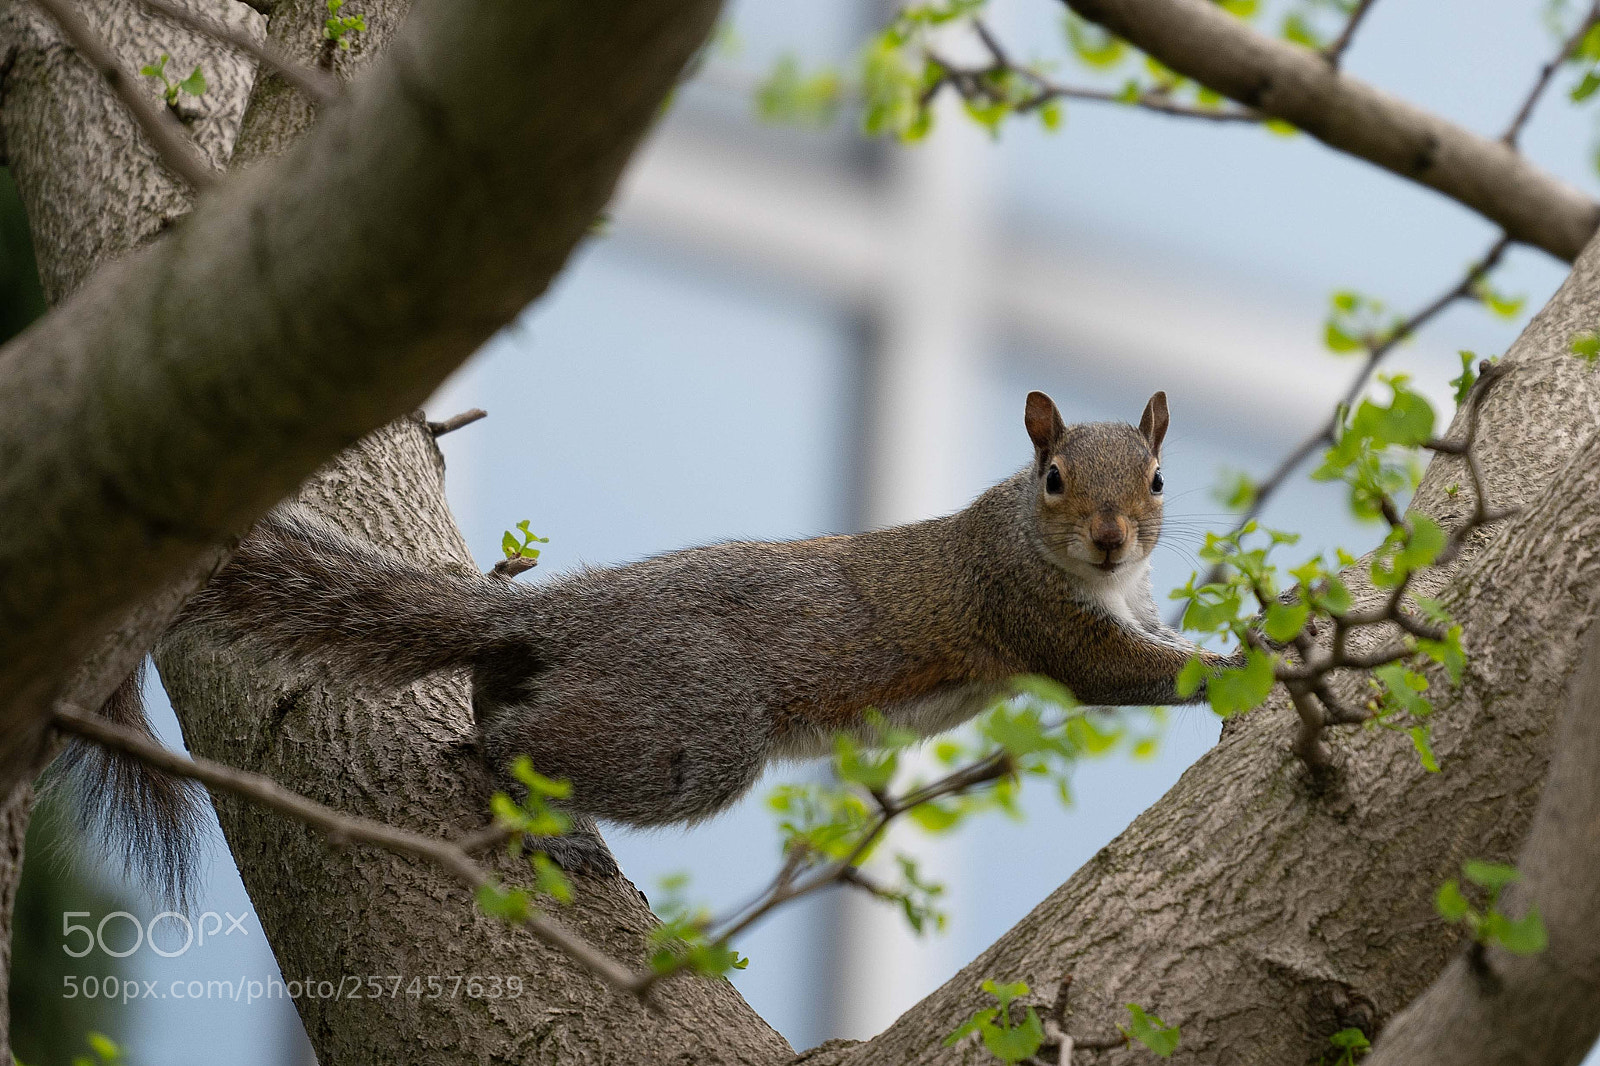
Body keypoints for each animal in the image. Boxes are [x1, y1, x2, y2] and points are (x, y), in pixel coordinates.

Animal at [127, 388, 1232, 879]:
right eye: (1053, 478)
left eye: (1156, 480)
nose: (1109, 537)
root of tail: (553, 612)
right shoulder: (1029, 611)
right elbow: (1126, 673)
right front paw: (1252, 665)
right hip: (694, 727)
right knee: (520, 740)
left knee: (499, 694)